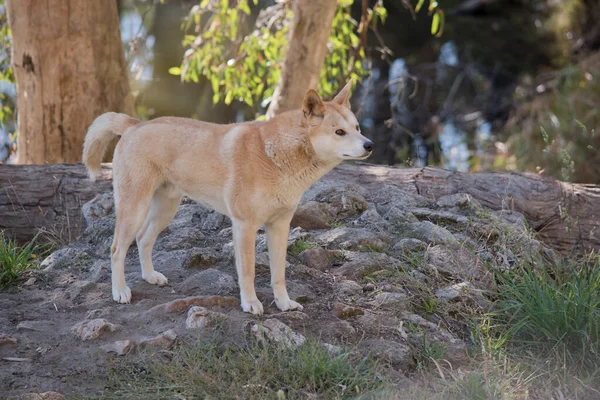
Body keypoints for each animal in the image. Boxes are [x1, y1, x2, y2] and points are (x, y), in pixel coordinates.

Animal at [82, 83, 372, 314]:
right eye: (339, 132)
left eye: (357, 128)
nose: (369, 145)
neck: (277, 155)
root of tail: (136, 124)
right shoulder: (245, 226)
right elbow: (248, 272)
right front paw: (251, 304)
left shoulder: (280, 226)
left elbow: (279, 274)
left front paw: (284, 303)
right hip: (135, 208)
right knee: (117, 249)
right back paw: (120, 291)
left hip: (166, 208)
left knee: (143, 239)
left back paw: (150, 276)